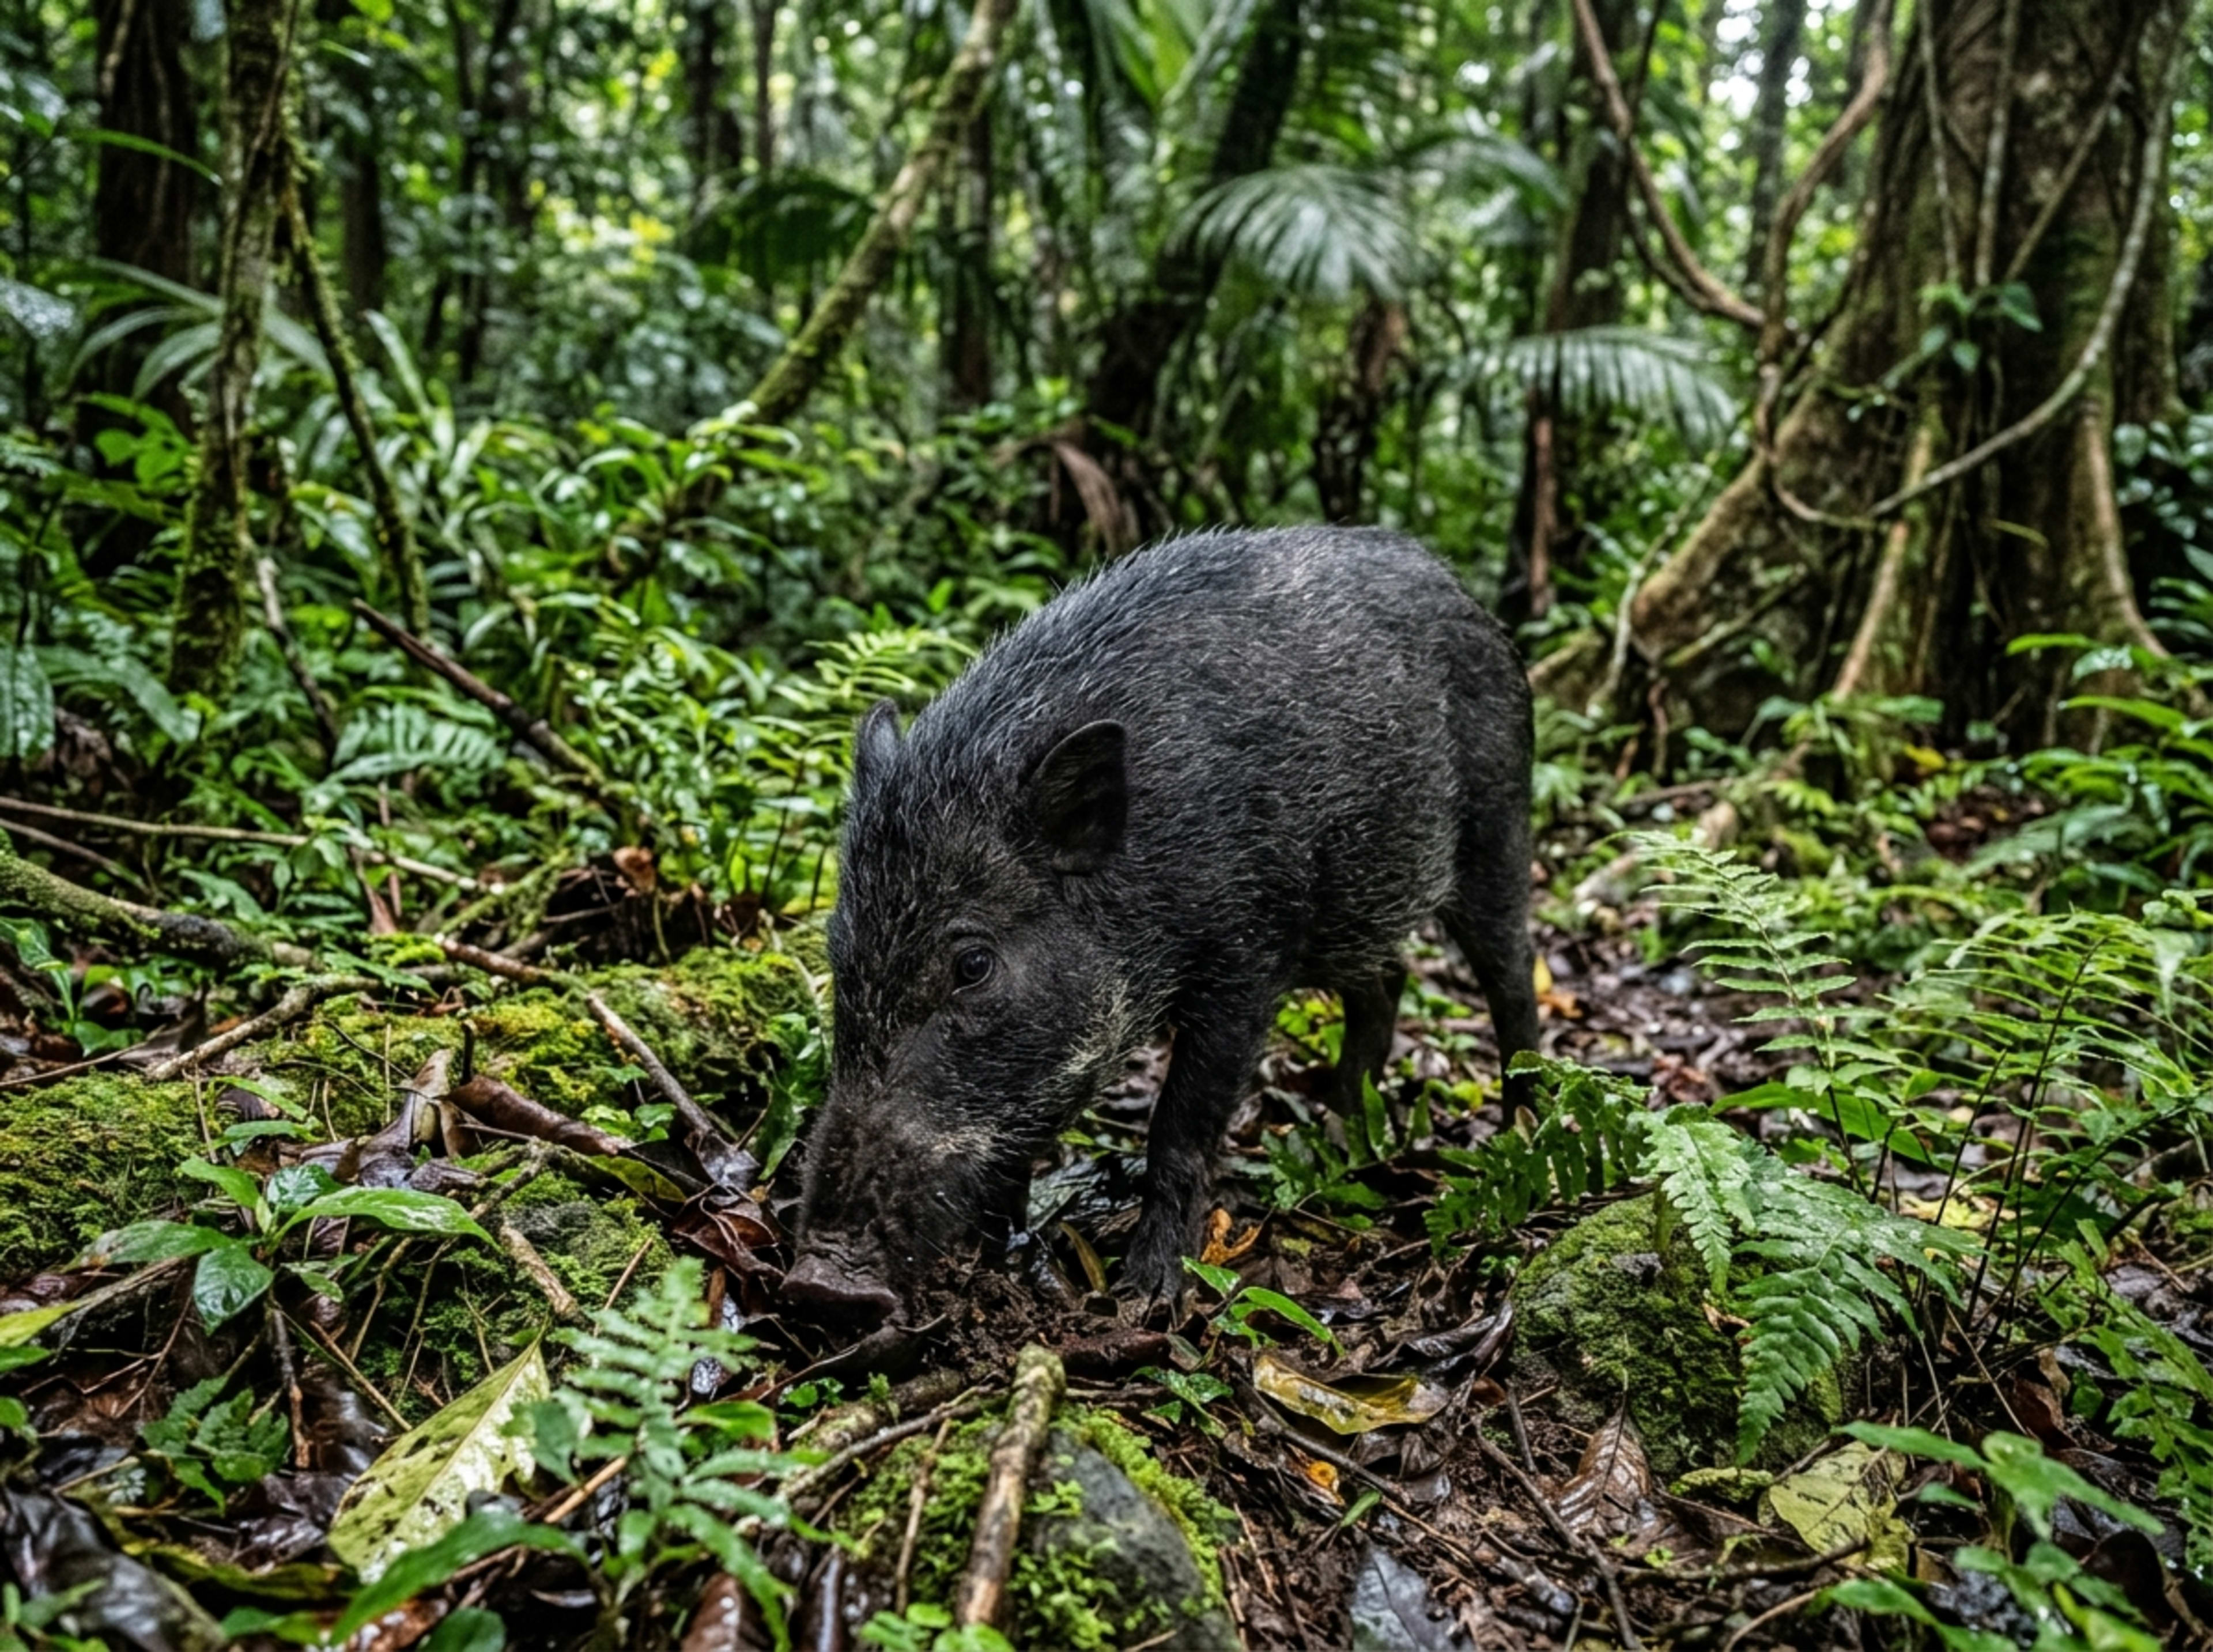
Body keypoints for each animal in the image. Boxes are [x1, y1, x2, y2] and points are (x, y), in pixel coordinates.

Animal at [785, 527, 1538, 1320]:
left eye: (973, 964)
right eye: (840, 951)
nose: (819, 1280)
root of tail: (1459, 589)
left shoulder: (1246, 957)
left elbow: (1179, 1124)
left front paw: (1145, 1296)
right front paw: (1006, 1255)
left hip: (1496, 823)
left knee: (1511, 974)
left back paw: (1524, 1124)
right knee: (1386, 982)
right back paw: (1335, 1138)